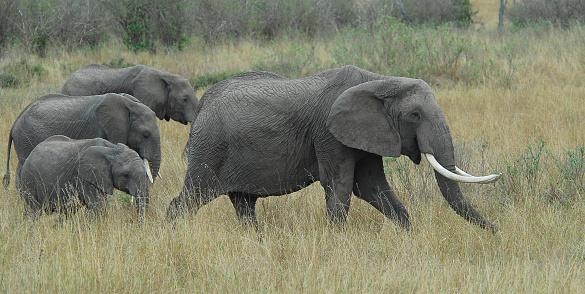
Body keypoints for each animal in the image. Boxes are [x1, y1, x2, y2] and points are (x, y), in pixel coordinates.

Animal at [20, 135, 153, 220]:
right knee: (33, 211)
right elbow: (98, 207)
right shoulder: (85, 178)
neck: (112, 149)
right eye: (125, 175)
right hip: (29, 180)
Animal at [167, 65, 500, 232]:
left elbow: (371, 186)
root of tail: (202, 105)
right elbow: (339, 186)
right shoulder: (329, 134)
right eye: (415, 115)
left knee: (244, 204)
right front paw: (337, 240)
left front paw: (408, 237)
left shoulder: (364, 136)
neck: (380, 81)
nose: (496, 229)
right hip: (209, 149)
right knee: (191, 198)